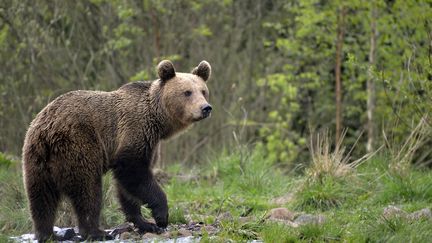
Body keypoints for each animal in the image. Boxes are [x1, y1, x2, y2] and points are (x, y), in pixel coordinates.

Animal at [22, 59, 212, 240]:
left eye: (203, 91)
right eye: (187, 92)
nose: (206, 108)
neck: (158, 120)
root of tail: (48, 129)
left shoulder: (149, 142)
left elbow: (127, 187)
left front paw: (144, 222)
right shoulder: (135, 131)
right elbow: (133, 171)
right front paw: (161, 217)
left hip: (36, 157)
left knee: (41, 197)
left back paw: (47, 234)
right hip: (78, 143)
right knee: (88, 189)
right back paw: (96, 232)